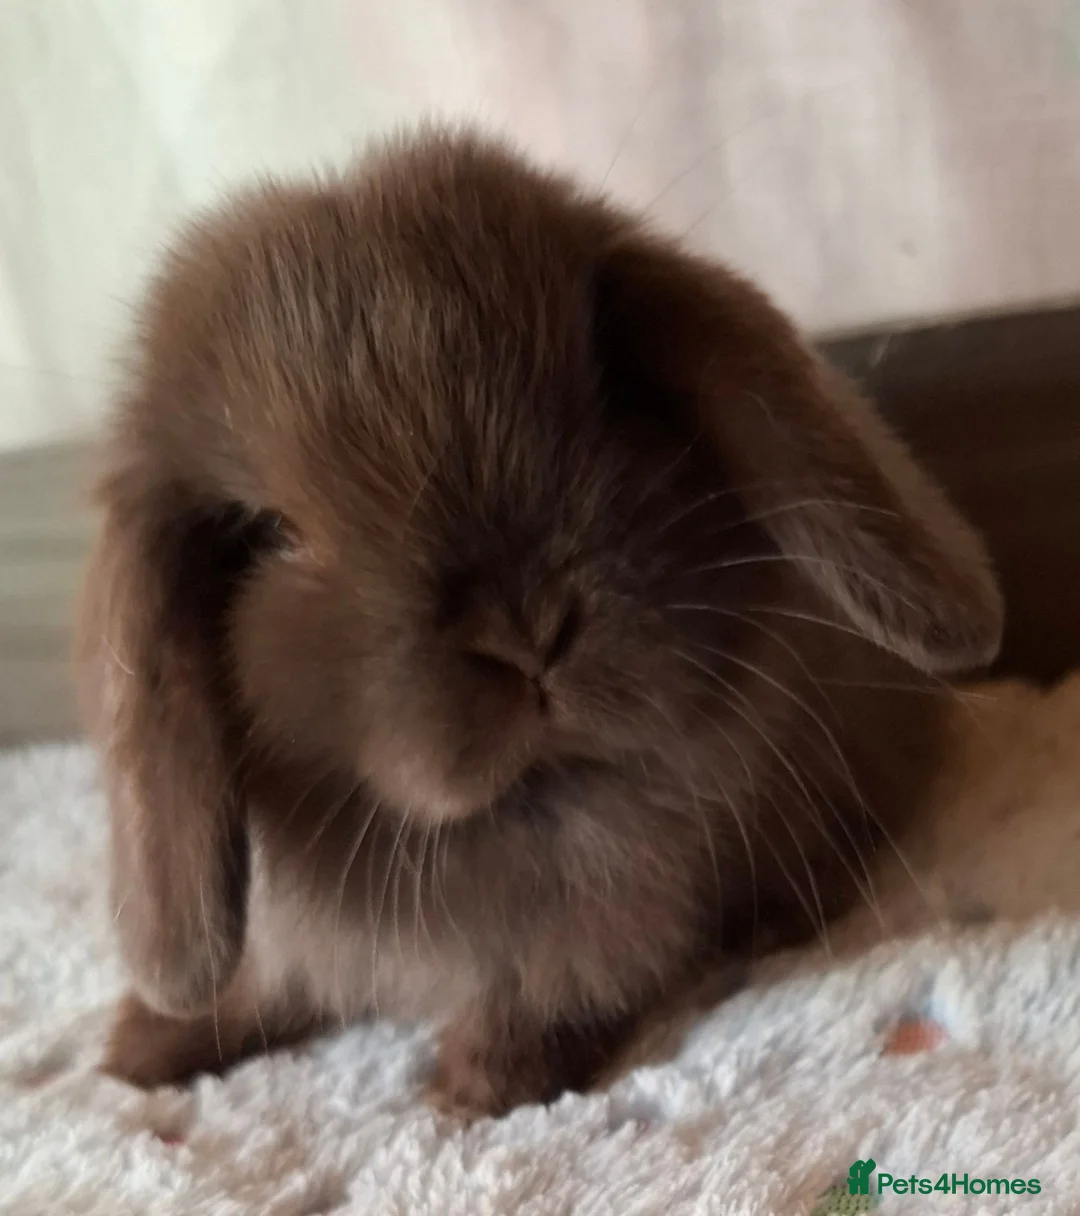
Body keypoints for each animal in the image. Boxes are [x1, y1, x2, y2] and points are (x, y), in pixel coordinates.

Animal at [78, 126, 1003, 1118]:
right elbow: (266, 984)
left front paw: (475, 1083)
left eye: (607, 383)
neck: (511, 811)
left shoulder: (613, 918)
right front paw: (144, 1045)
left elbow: (558, 983)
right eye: (270, 532)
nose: (526, 633)